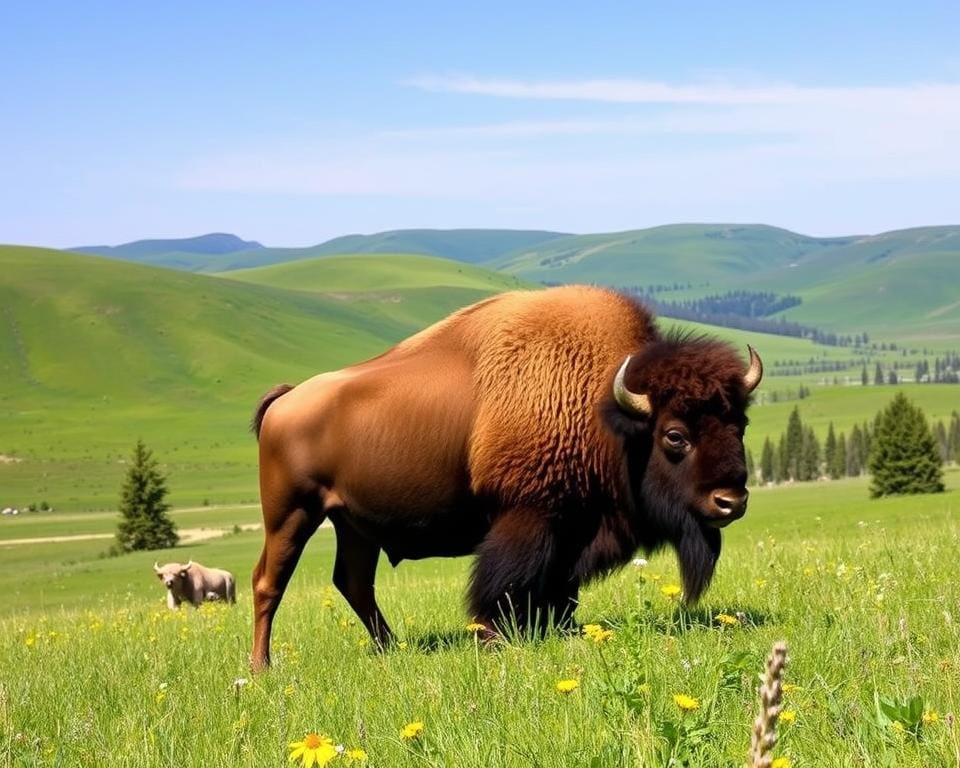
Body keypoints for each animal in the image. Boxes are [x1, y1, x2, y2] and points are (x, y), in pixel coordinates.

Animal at [251, 284, 760, 668]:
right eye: (675, 435)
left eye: (740, 423)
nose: (731, 502)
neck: (601, 406)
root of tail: (287, 399)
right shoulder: (526, 518)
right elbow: (503, 584)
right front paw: (496, 639)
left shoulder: (573, 527)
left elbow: (562, 590)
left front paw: (561, 631)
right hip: (291, 515)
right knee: (267, 583)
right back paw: (261, 669)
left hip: (354, 525)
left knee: (354, 583)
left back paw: (392, 650)